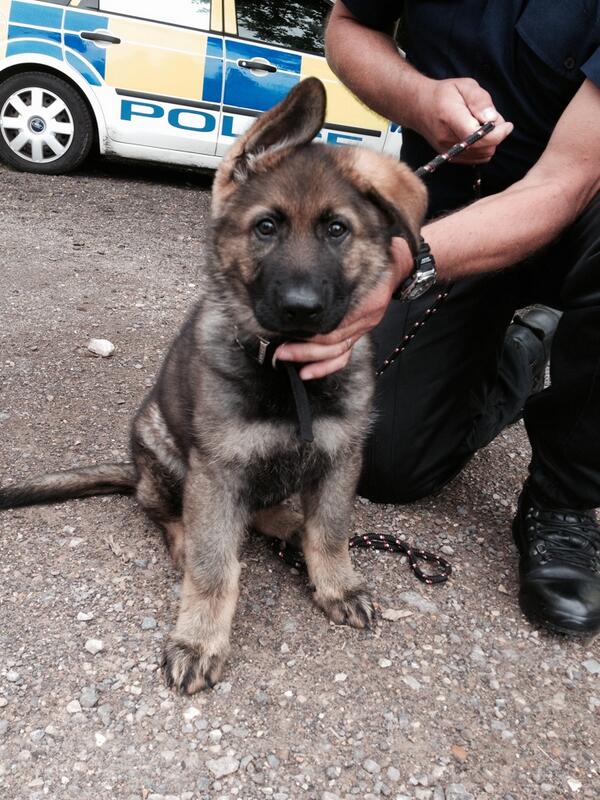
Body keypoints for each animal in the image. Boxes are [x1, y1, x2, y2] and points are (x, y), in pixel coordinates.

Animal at [0, 81, 426, 692]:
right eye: (266, 227)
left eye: (337, 229)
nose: (301, 308)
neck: (287, 372)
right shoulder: (218, 471)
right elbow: (214, 567)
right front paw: (198, 639)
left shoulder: (340, 454)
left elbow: (331, 530)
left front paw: (337, 583)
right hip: (164, 447)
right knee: (164, 510)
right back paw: (190, 535)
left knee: (265, 510)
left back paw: (288, 524)